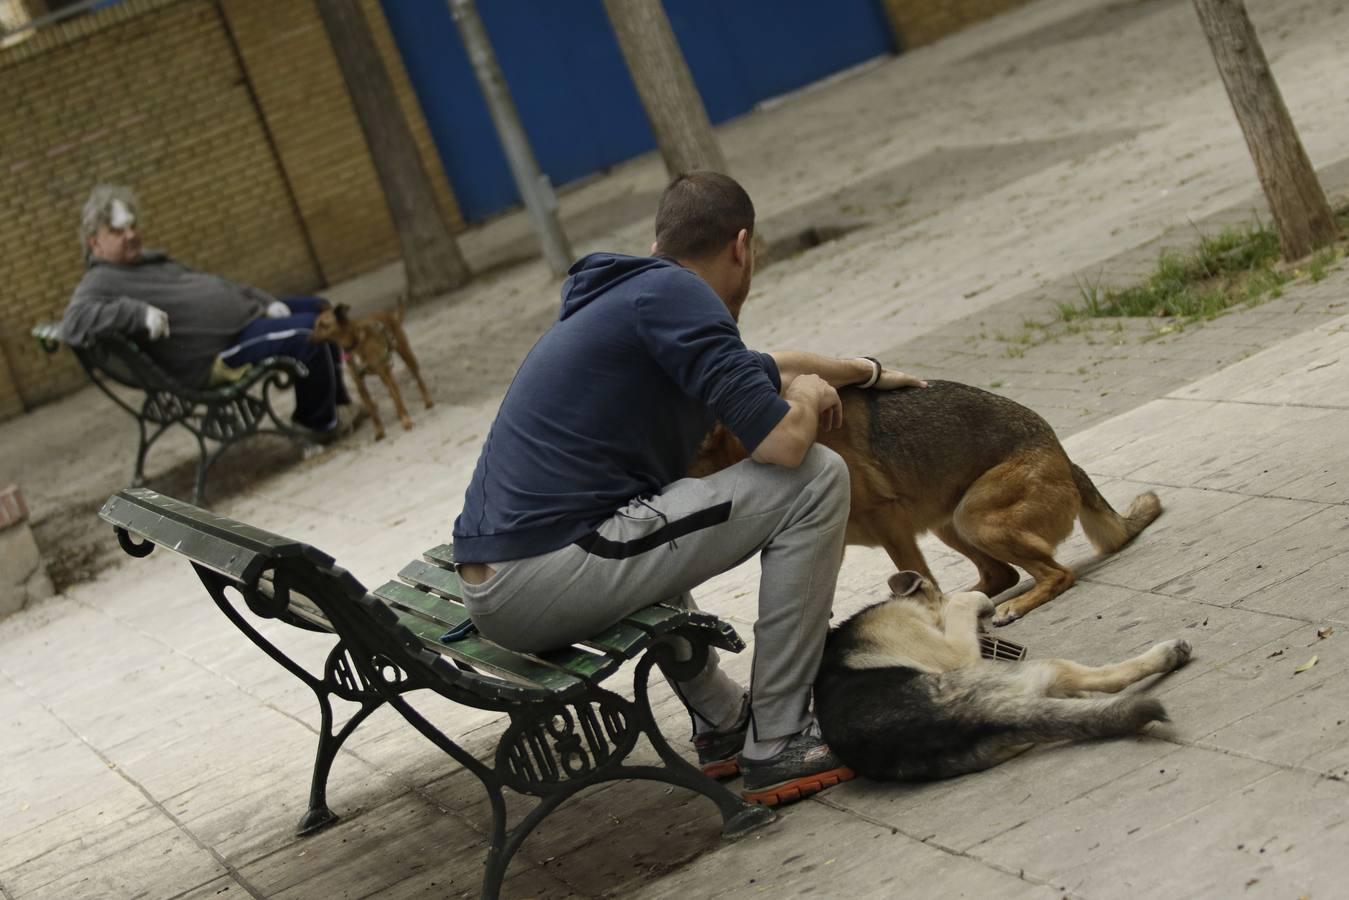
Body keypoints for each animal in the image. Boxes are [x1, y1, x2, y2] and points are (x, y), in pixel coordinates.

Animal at [310, 304, 431, 442]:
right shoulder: (360, 385)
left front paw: (406, 421)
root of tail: (387, 314)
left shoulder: (387, 375)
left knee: (417, 378)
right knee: (394, 393)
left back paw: (427, 401)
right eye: (315, 324)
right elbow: (373, 411)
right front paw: (379, 431)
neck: (355, 342)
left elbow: (398, 400)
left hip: (405, 355)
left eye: (323, 325)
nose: (308, 338)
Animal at [690, 380, 1165, 626]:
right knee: (1002, 574)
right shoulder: (830, 538)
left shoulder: (889, 524)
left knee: (1057, 573)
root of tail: (1065, 459)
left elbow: (915, 574)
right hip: (949, 522)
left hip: (974, 518)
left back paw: (1012, 605)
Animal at [809, 574, 1192, 782]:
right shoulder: (955, 651)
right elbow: (962, 601)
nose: (987, 630)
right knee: (1108, 677)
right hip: (1039, 668)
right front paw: (981, 600)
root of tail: (964, 718)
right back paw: (1167, 654)